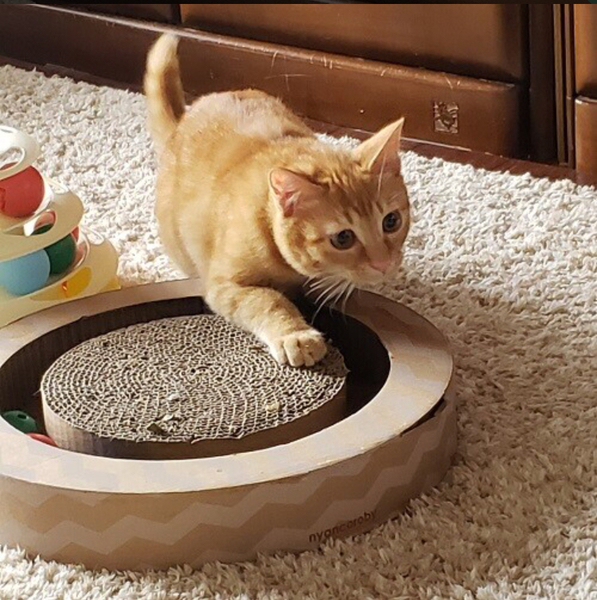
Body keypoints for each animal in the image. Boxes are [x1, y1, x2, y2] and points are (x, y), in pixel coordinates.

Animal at [144, 34, 410, 367]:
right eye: (343, 238)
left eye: (392, 221)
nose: (384, 264)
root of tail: (182, 122)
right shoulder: (224, 286)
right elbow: (268, 300)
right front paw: (295, 334)